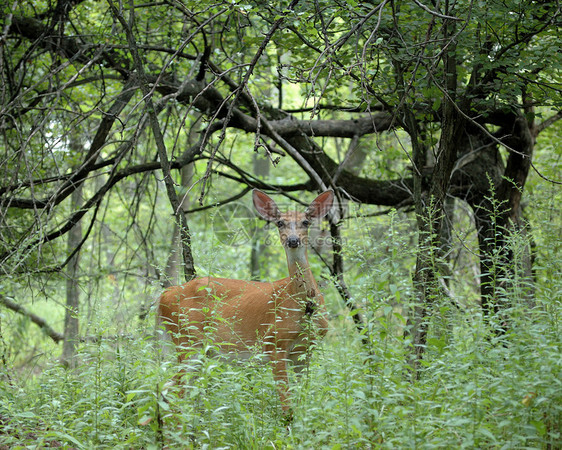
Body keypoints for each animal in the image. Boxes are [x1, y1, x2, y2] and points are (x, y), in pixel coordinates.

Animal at [156, 188, 332, 416]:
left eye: (305, 222)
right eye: (279, 223)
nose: (293, 241)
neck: (302, 303)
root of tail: (164, 295)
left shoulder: (305, 351)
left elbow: (304, 398)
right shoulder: (274, 343)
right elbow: (287, 405)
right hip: (187, 339)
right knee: (173, 391)